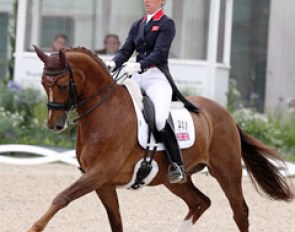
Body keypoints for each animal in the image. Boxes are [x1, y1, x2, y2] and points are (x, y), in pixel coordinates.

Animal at [28, 45, 294, 232]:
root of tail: (226, 113)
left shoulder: (99, 174)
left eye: (62, 84)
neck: (105, 113)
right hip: (174, 179)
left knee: (240, 211)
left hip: (227, 172)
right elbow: (116, 222)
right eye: (43, 83)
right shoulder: (102, 183)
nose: (54, 125)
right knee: (200, 202)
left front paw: (33, 227)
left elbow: (62, 198)